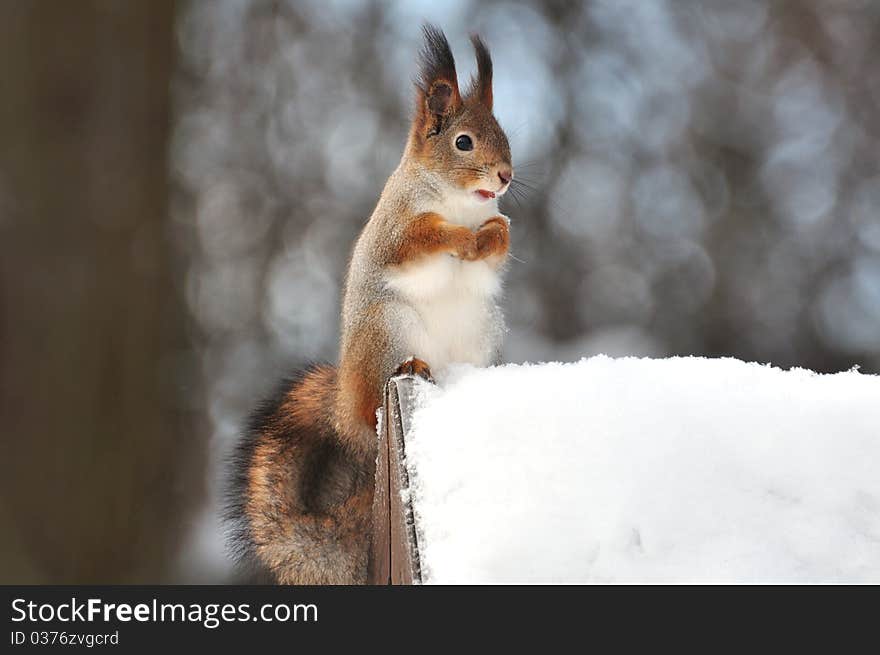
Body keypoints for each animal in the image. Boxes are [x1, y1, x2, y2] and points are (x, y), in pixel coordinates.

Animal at [227, 25, 512, 584]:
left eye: (504, 133)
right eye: (463, 142)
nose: (506, 175)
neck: (460, 203)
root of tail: (343, 411)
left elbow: (499, 244)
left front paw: (493, 234)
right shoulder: (396, 229)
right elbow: (418, 239)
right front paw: (462, 239)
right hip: (388, 327)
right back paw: (412, 366)